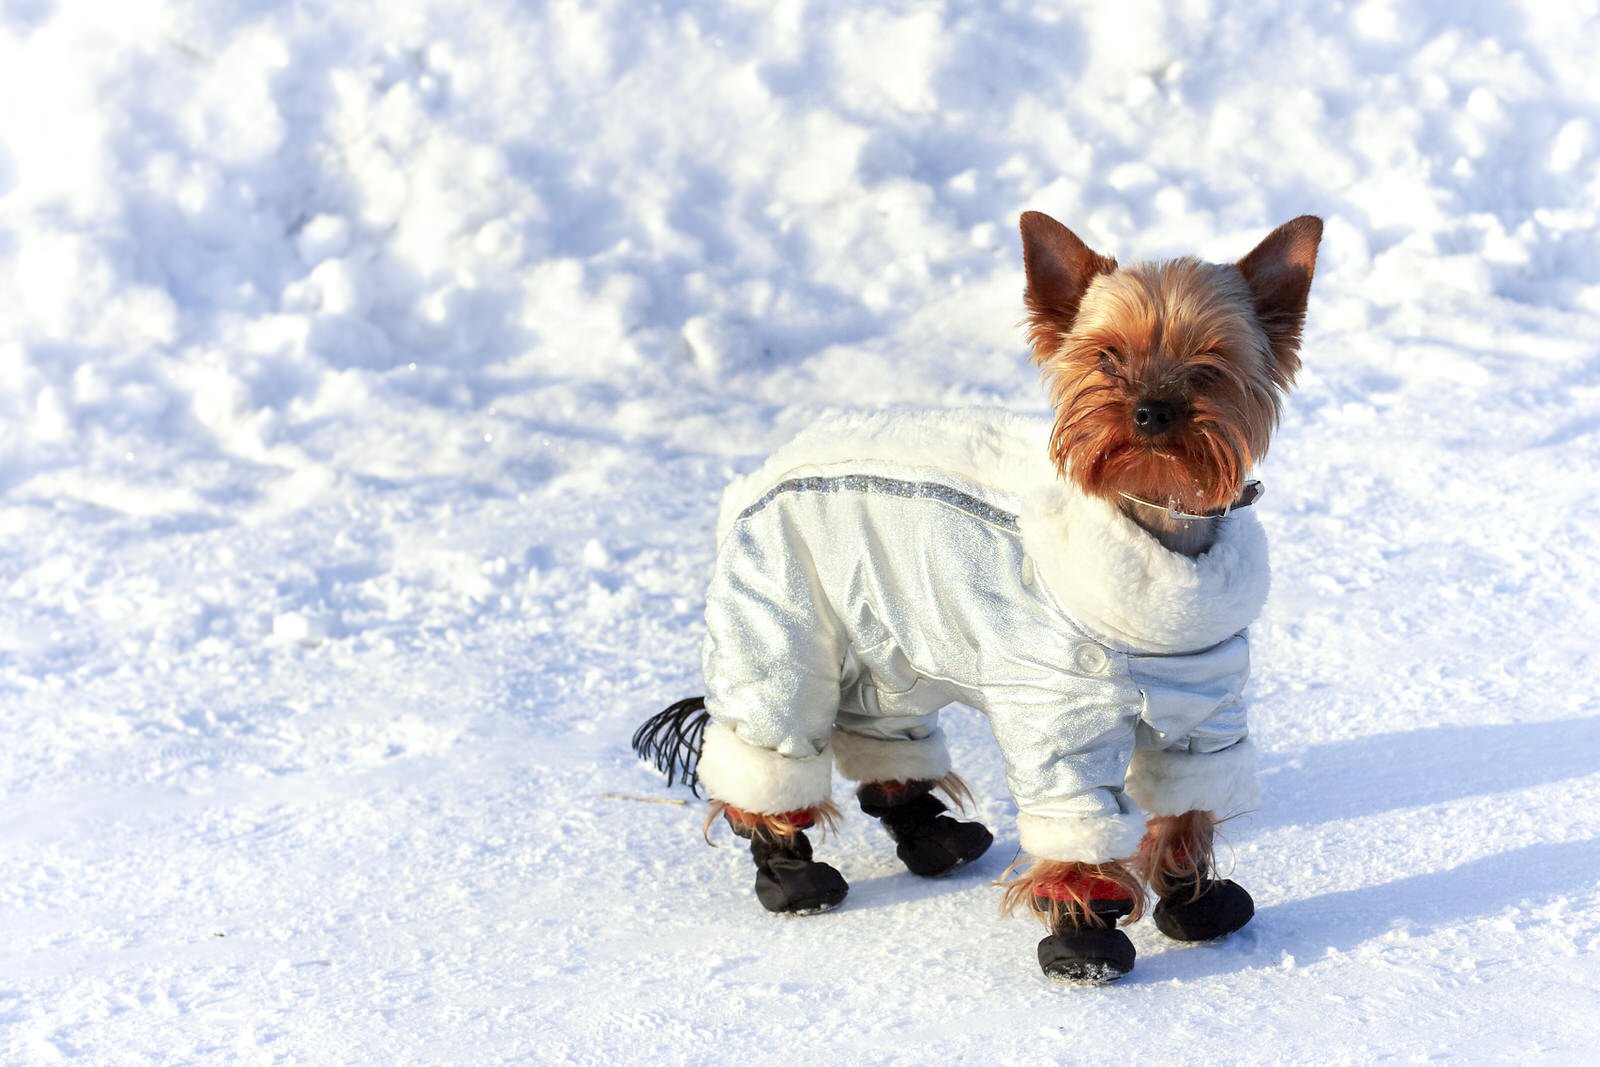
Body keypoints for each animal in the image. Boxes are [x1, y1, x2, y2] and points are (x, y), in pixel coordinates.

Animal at [630, 211, 1318, 985]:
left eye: (1210, 360)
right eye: (1107, 356)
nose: (1151, 411)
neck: (1159, 537)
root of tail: (764, 472)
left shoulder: (1205, 708)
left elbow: (1188, 802)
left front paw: (1195, 900)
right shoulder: (1061, 722)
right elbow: (1075, 823)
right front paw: (1085, 940)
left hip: (888, 644)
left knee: (882, 735)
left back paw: (931, 833)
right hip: (781, 620)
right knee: (772, 743)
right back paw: (789, 870)